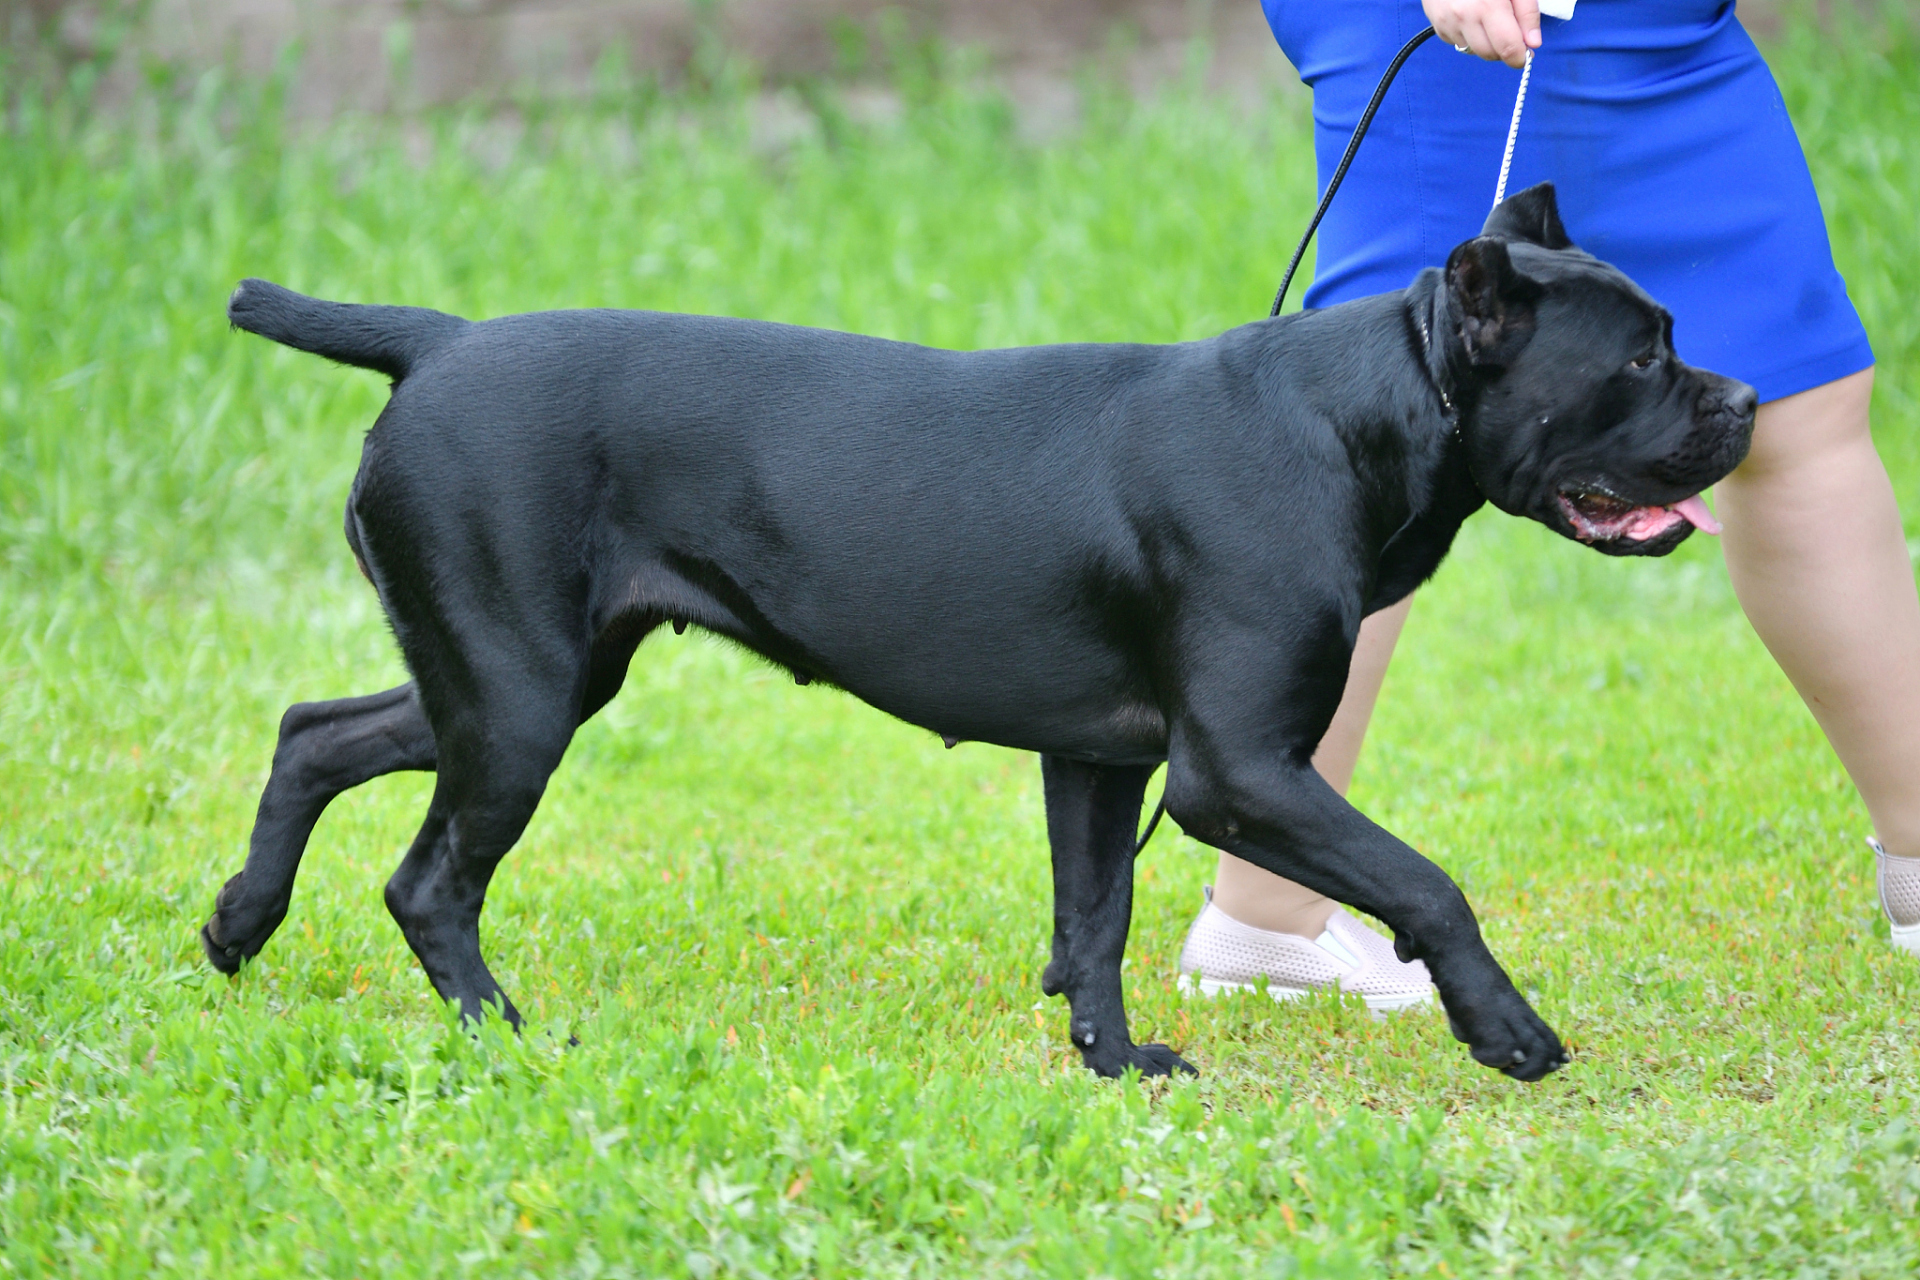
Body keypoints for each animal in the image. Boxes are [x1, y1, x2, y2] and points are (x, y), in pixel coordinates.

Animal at [206, 182, 1758, 1082]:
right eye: (1639, 355)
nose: (1746, 402)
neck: (1367, 412)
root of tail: (440, 342)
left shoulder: (1107, 764)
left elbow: (1096, 917)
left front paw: (1114, 1065)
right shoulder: (1237, 773)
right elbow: (1427, 882)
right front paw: (1509, 1030)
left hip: (512, 678)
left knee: (312, 734)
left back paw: (237, 926)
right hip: (519, 697)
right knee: (428, 882)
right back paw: (505, 1038)